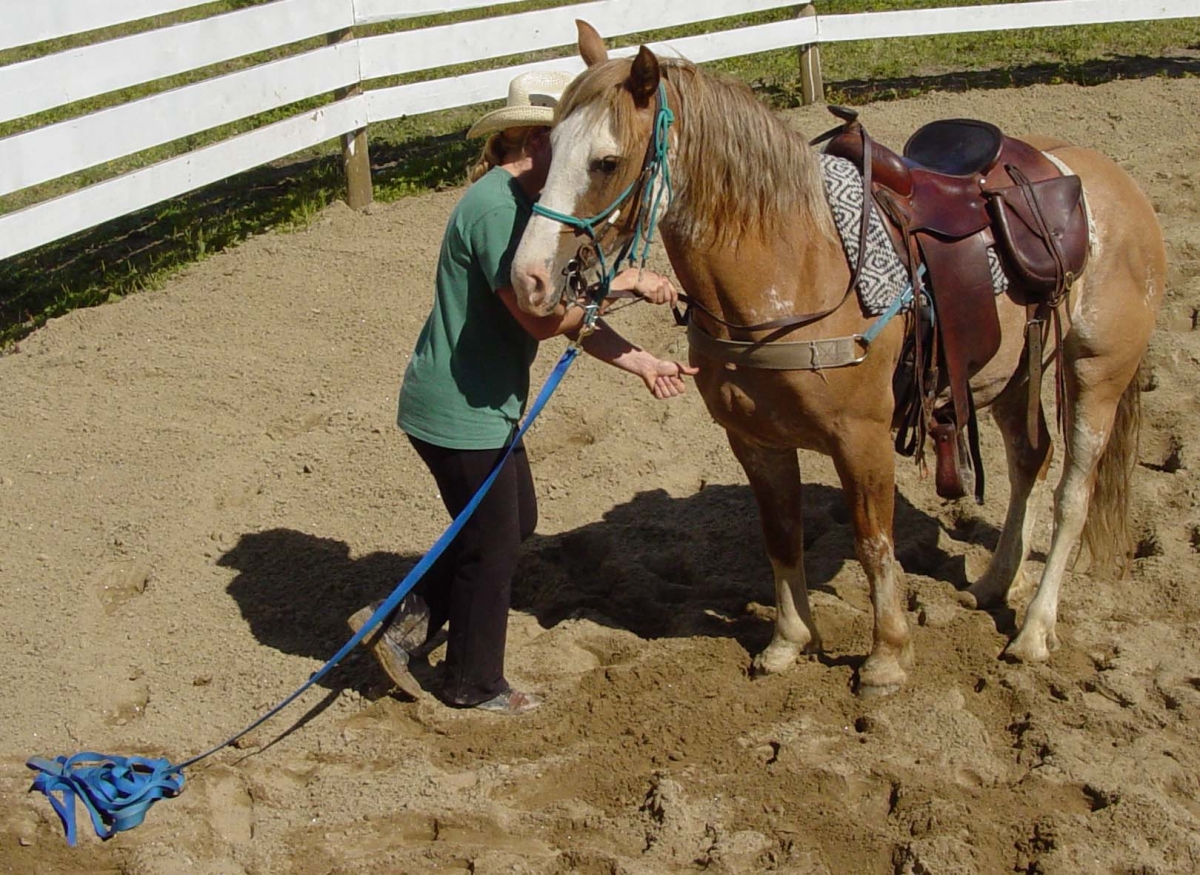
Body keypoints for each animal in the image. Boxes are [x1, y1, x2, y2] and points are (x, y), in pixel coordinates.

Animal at [511, 21, 1167, 694]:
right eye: (548, 148)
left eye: (607, 161)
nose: (529, 278)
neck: (794, 271)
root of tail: (1106, 180)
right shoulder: (754, 440)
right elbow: (780, 537)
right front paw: (788, 642)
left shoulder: (862, 438)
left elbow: (874, 542)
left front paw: (887, 657)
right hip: (1012, 374)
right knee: (1030, 463)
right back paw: (989, 587)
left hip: (1095, 373)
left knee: (1072, 493)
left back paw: (1034, 629)